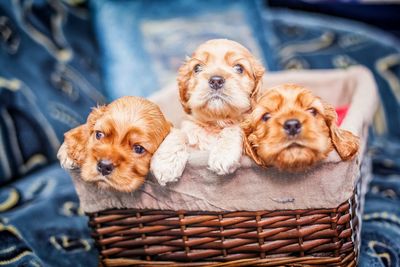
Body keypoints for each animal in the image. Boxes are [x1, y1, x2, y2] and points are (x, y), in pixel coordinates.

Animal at [149, 39, 262, 186]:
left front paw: (223, 154)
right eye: (197, 68)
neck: (216, 122)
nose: (216, 80)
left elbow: (234, 127)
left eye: (239, 68)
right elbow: (178, 132)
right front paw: (166, 162)